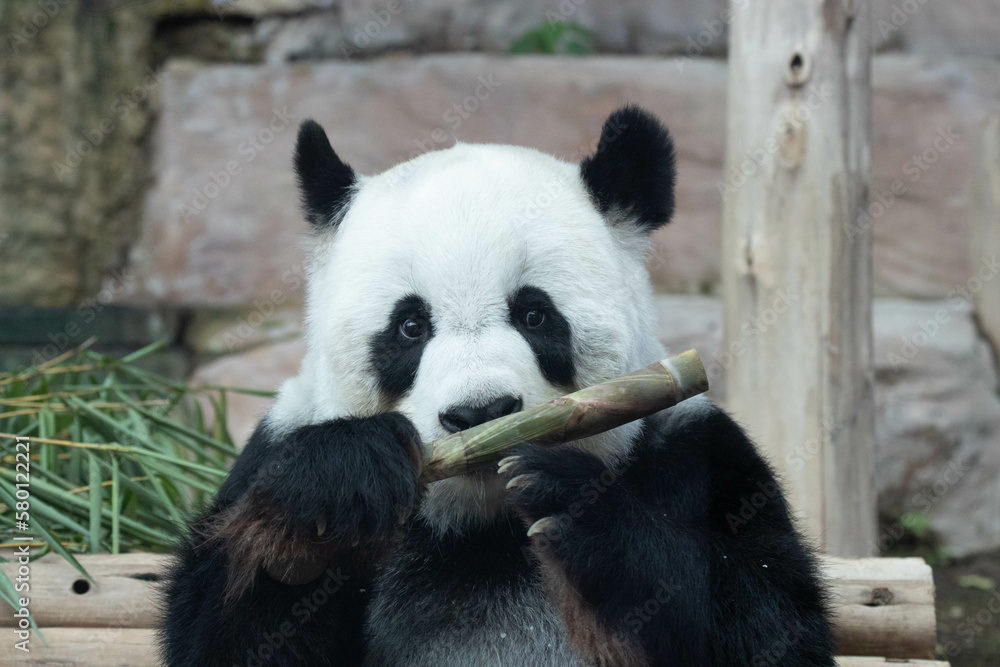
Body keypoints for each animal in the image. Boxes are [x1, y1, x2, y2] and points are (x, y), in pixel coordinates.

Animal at [160, 106, 835, 666]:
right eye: (410, 326)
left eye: (534, 315)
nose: (481, 412)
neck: (481, 528)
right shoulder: (274, 449)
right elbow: (224, 634)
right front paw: (335, 486)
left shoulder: (695, 453)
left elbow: (768, 623)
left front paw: (578, 506)